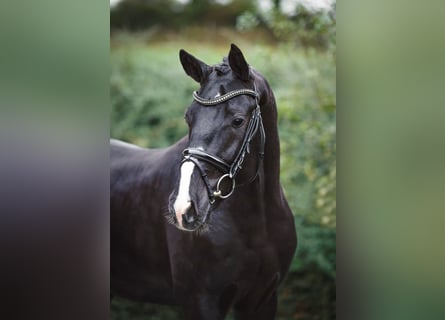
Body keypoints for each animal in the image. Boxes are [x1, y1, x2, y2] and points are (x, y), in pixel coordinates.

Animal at [110, 43, 296, 318]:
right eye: (189, 117)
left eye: (238, 120)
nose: (183, 208)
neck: (257, 222)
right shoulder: (200, 301)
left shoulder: (263, 298)